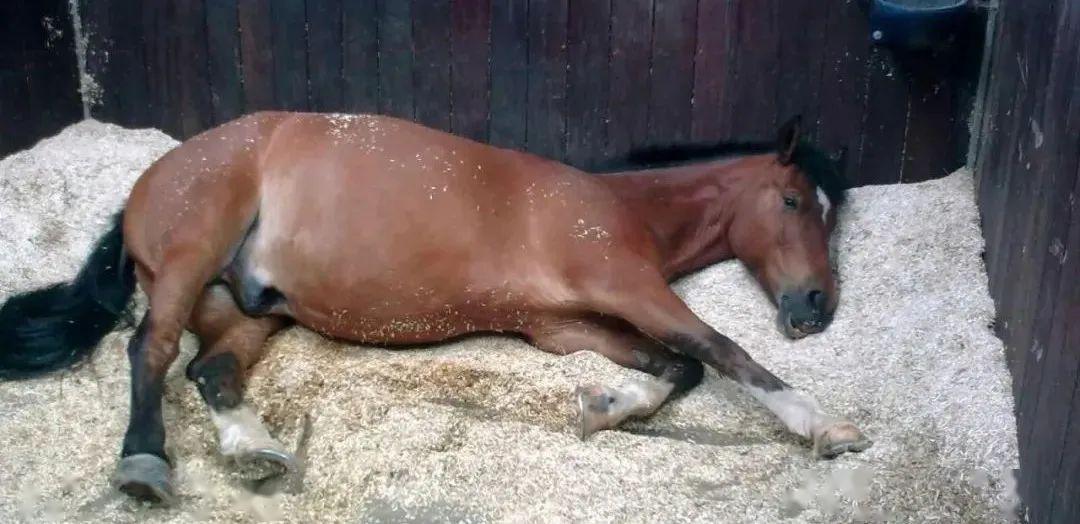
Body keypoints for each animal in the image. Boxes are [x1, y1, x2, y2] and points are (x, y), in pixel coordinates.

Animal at [0, 111, 868, 503]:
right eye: (795, 202)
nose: (814, 308)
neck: (618, 208)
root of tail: (152, 178)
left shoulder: (564, 325)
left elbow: (675, 369)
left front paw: (604, 407)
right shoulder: (629, 290)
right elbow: (721, 352)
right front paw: (827, 428)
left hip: (247, 307)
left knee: (209, 372)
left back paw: (257, 449)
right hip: (189, 262)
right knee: (150, 349)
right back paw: (145, 462)